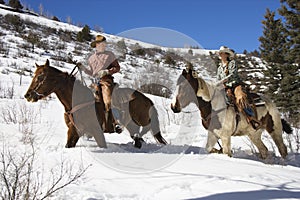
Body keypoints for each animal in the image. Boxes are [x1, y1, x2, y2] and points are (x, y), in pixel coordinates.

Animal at [24, 59, 168, 148]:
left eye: (40, 77)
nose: (28, 95)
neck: (78, 101)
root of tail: (147, 99)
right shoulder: (73, 131)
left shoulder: (96, 131)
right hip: (132, 125)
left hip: (141, 119)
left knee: (148, 127)